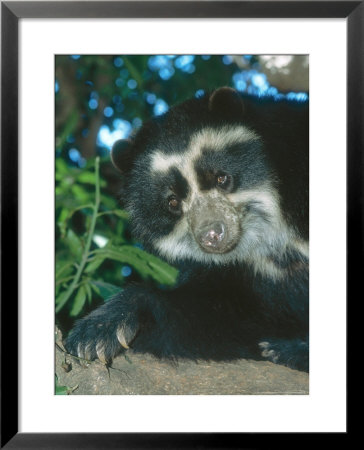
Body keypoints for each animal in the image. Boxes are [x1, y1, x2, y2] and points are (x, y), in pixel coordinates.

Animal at [64, 88, 308, 372]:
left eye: (222, 178)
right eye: (172, 202)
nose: (212, 235)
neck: (269, 241)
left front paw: (286, 350)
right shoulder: (235, 273)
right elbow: (224, 318)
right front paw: (94, 335)